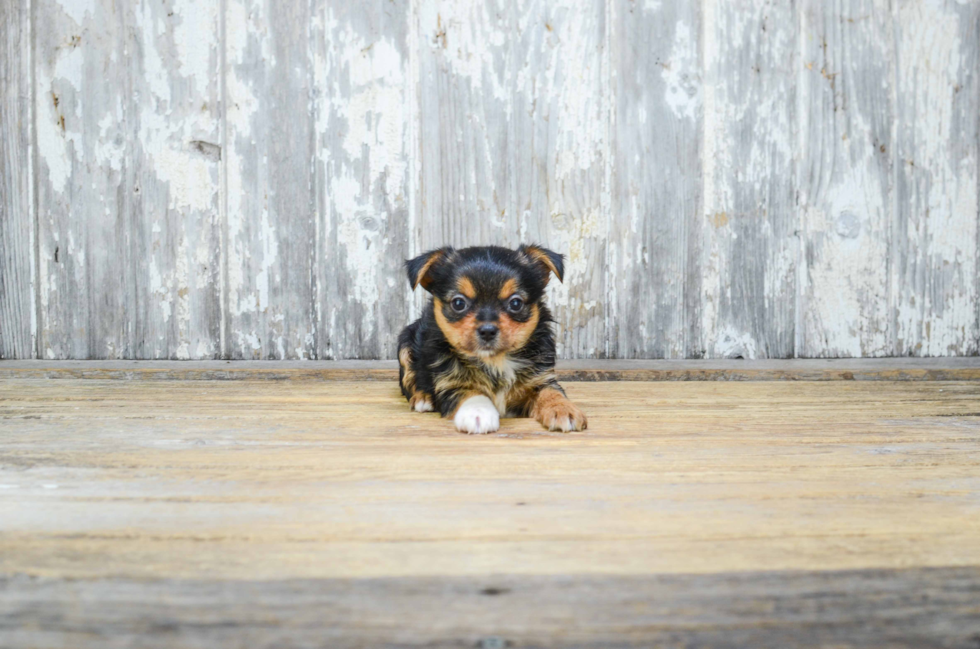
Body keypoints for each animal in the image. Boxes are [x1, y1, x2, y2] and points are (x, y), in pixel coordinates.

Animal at [396, 246, 584, 432]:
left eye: (515, 303)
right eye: (458, 303)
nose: (487, 331)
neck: (495, 360)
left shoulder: (541, 378)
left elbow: (551, 391)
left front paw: (562, 408)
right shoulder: (448, 383)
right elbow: (469, 392)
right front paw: (478, 412)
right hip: (405, 346)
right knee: (408, 381)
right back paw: (423, 398)